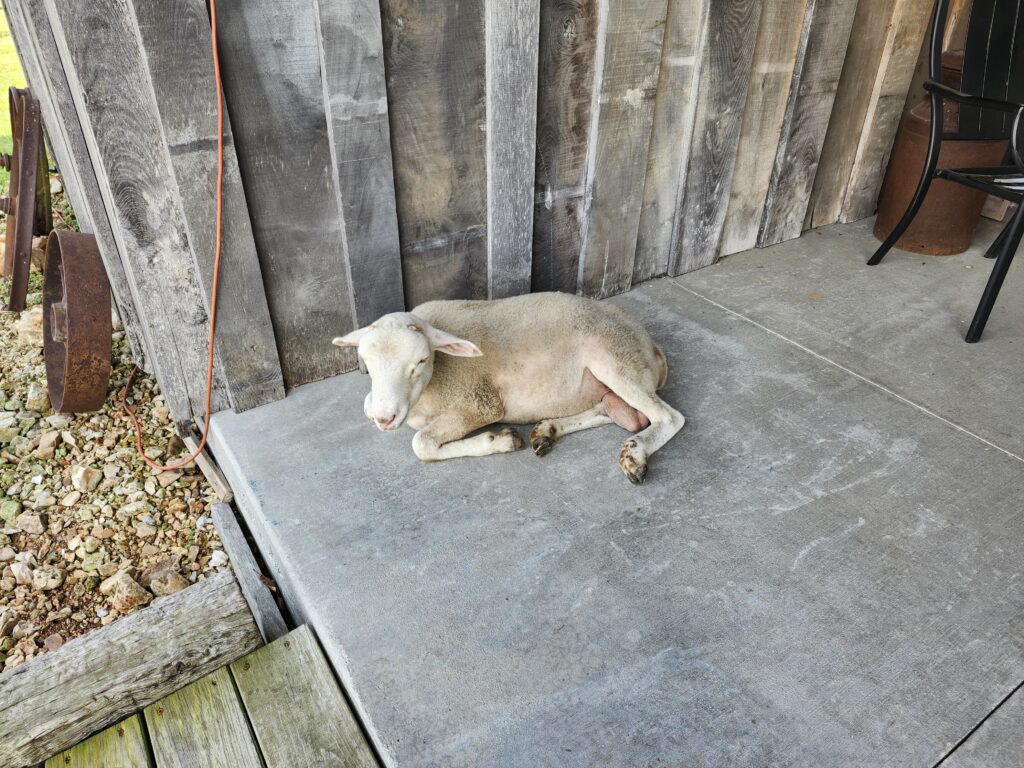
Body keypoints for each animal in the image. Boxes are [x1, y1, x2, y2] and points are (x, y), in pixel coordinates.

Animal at [332, 292, 686, 483]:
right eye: (365, 361)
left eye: (421, 360)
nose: (386, 419)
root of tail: (651, 345)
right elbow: (368, 405)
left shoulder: (479, 404)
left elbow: (421, 444)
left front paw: (497, 440)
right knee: (618, 412)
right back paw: (547, 431)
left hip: (615, 357)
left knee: (667, 418)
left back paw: (635, 453)